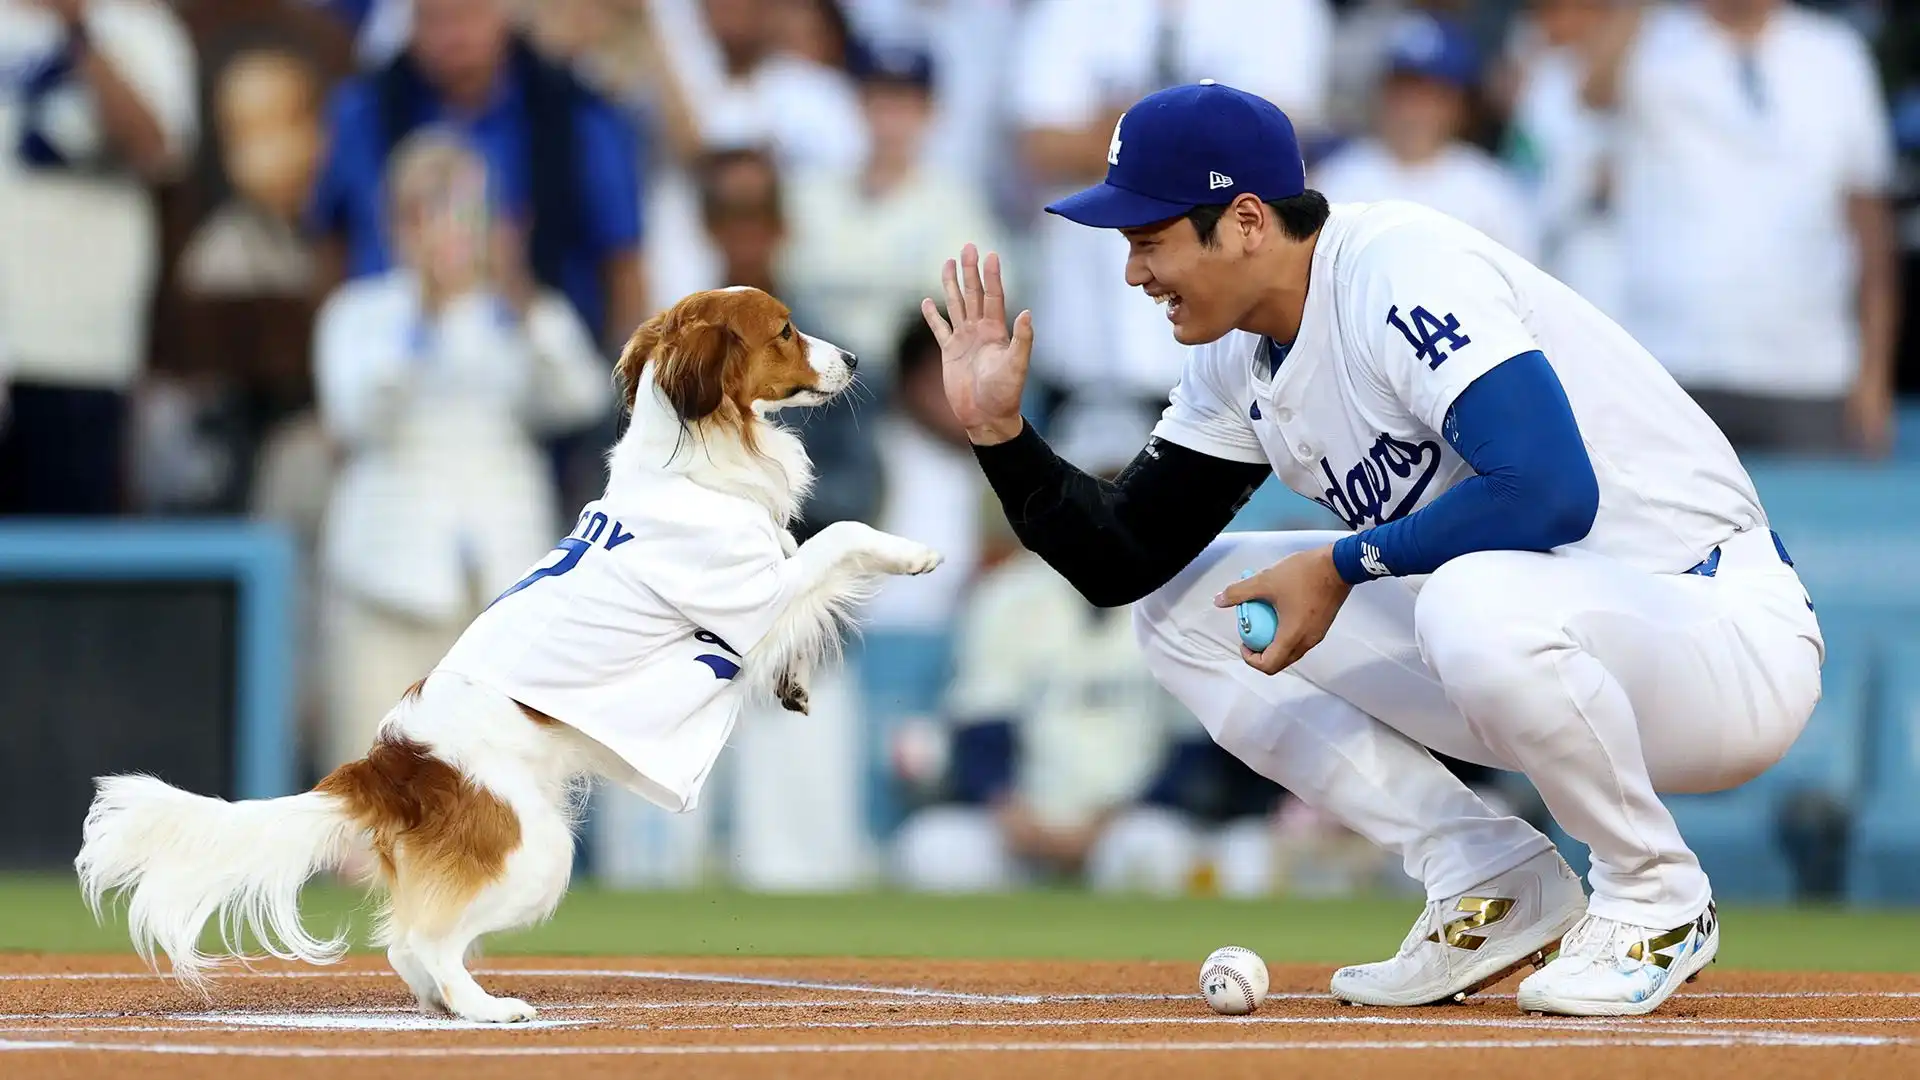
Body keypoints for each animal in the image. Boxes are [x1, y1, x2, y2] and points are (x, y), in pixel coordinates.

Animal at [74, 284, 944, 1014]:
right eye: (787, 330)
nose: (855, 358)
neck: (691, 465)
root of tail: (386, 765)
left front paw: (795, 681)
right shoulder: (749, 596)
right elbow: (837, 538)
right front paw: (913, 554)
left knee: (409, 949)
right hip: (538, 852)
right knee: (422, 941)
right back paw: (487, 1009)